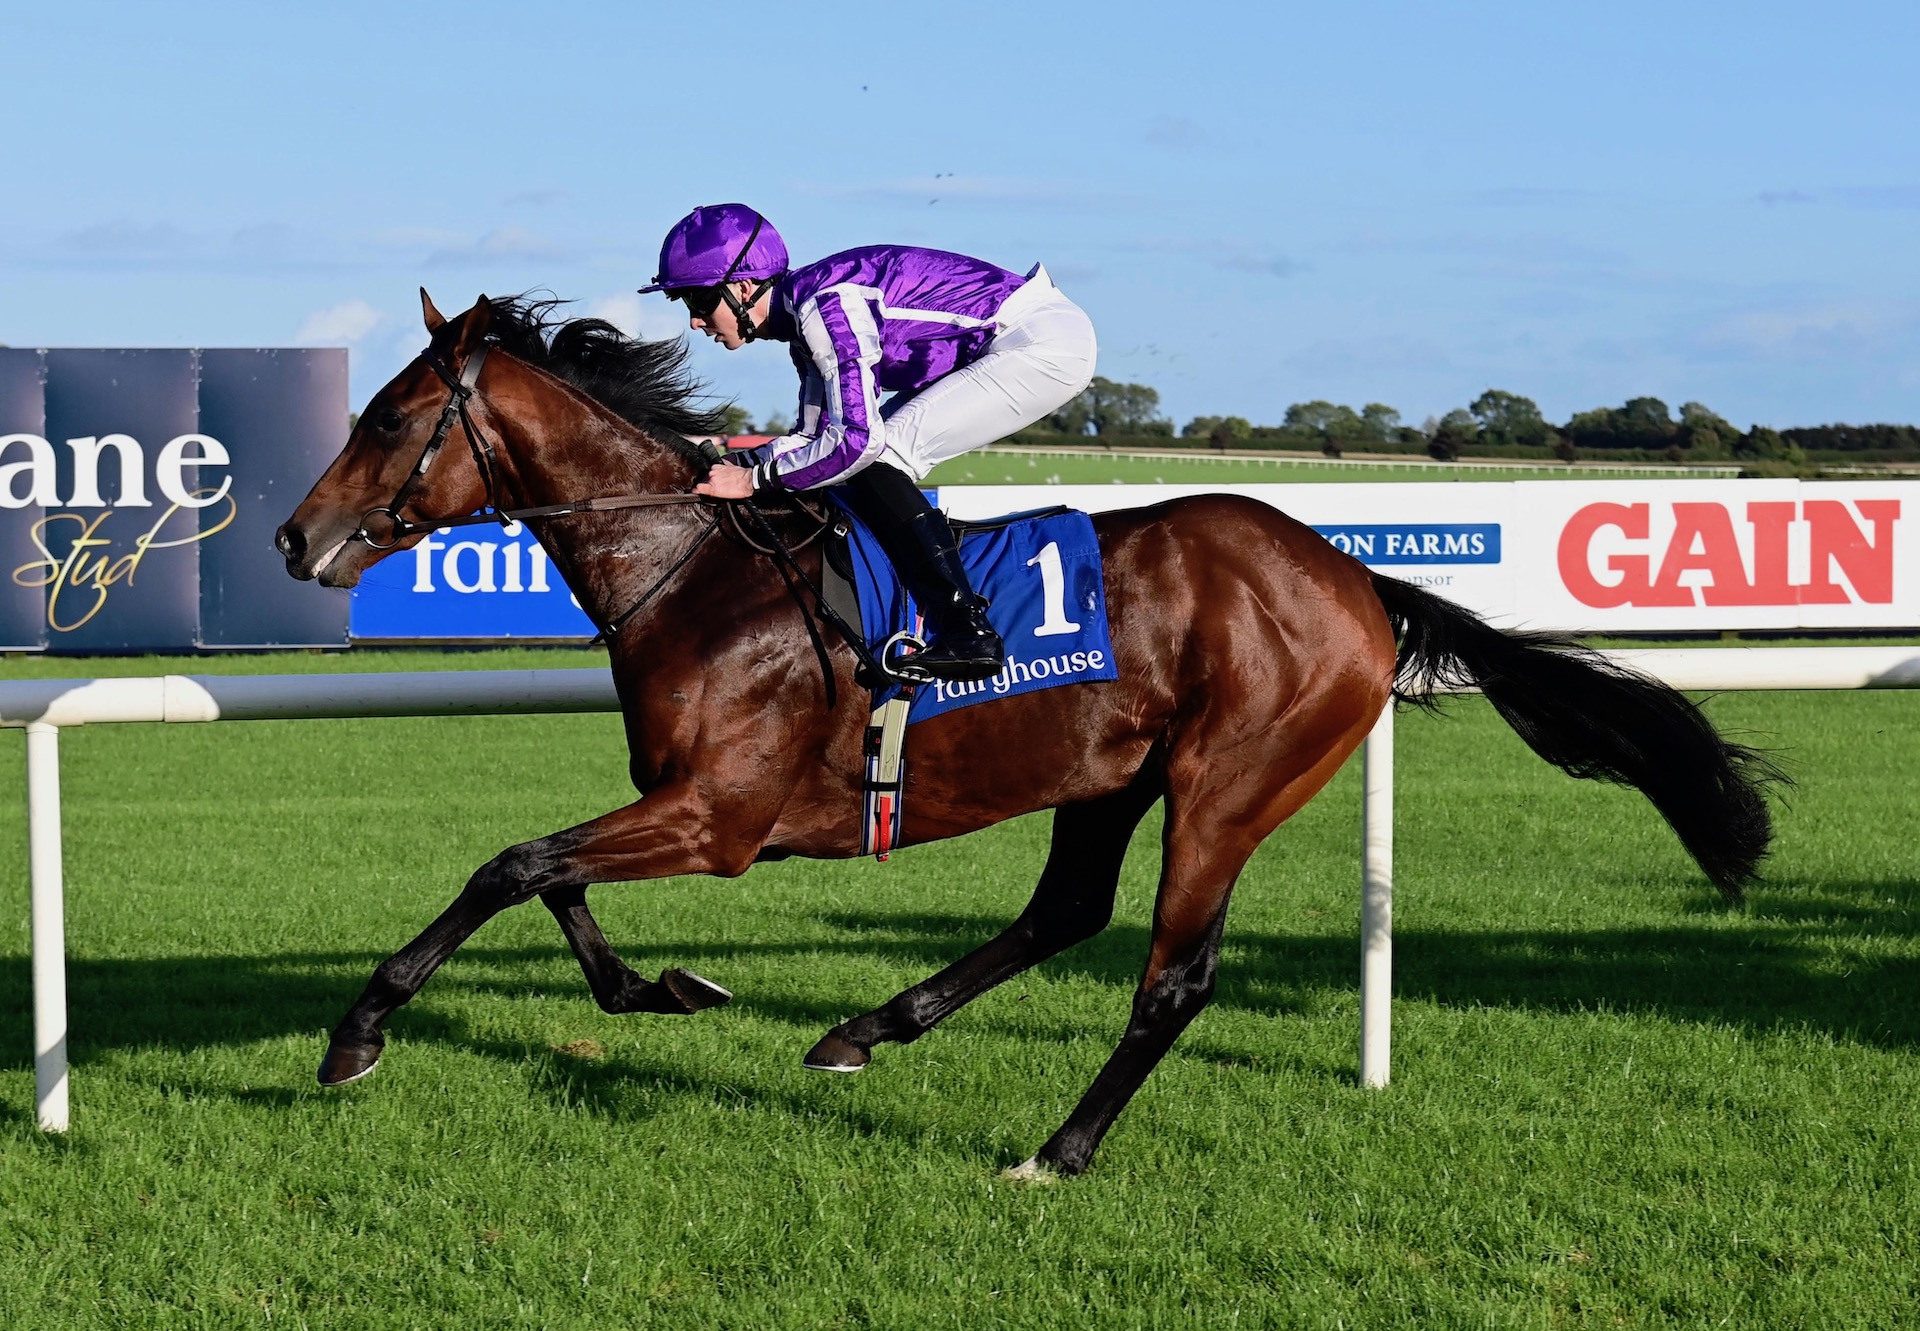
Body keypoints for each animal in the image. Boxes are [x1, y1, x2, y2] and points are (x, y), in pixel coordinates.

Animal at [278, 290, 1774, 1175]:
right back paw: (865, 1028)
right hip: (1110, 772)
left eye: (393, 416)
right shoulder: (684, 805)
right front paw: (662, 989)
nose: (295, 536)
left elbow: (512, 864)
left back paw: (1058, 1147)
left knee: (1171, 976)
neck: (695, 570)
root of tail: (1354, 576)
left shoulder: (722, 818)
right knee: (1066, 909)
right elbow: (553, 878)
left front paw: (357, 1032)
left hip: (1230, 782)